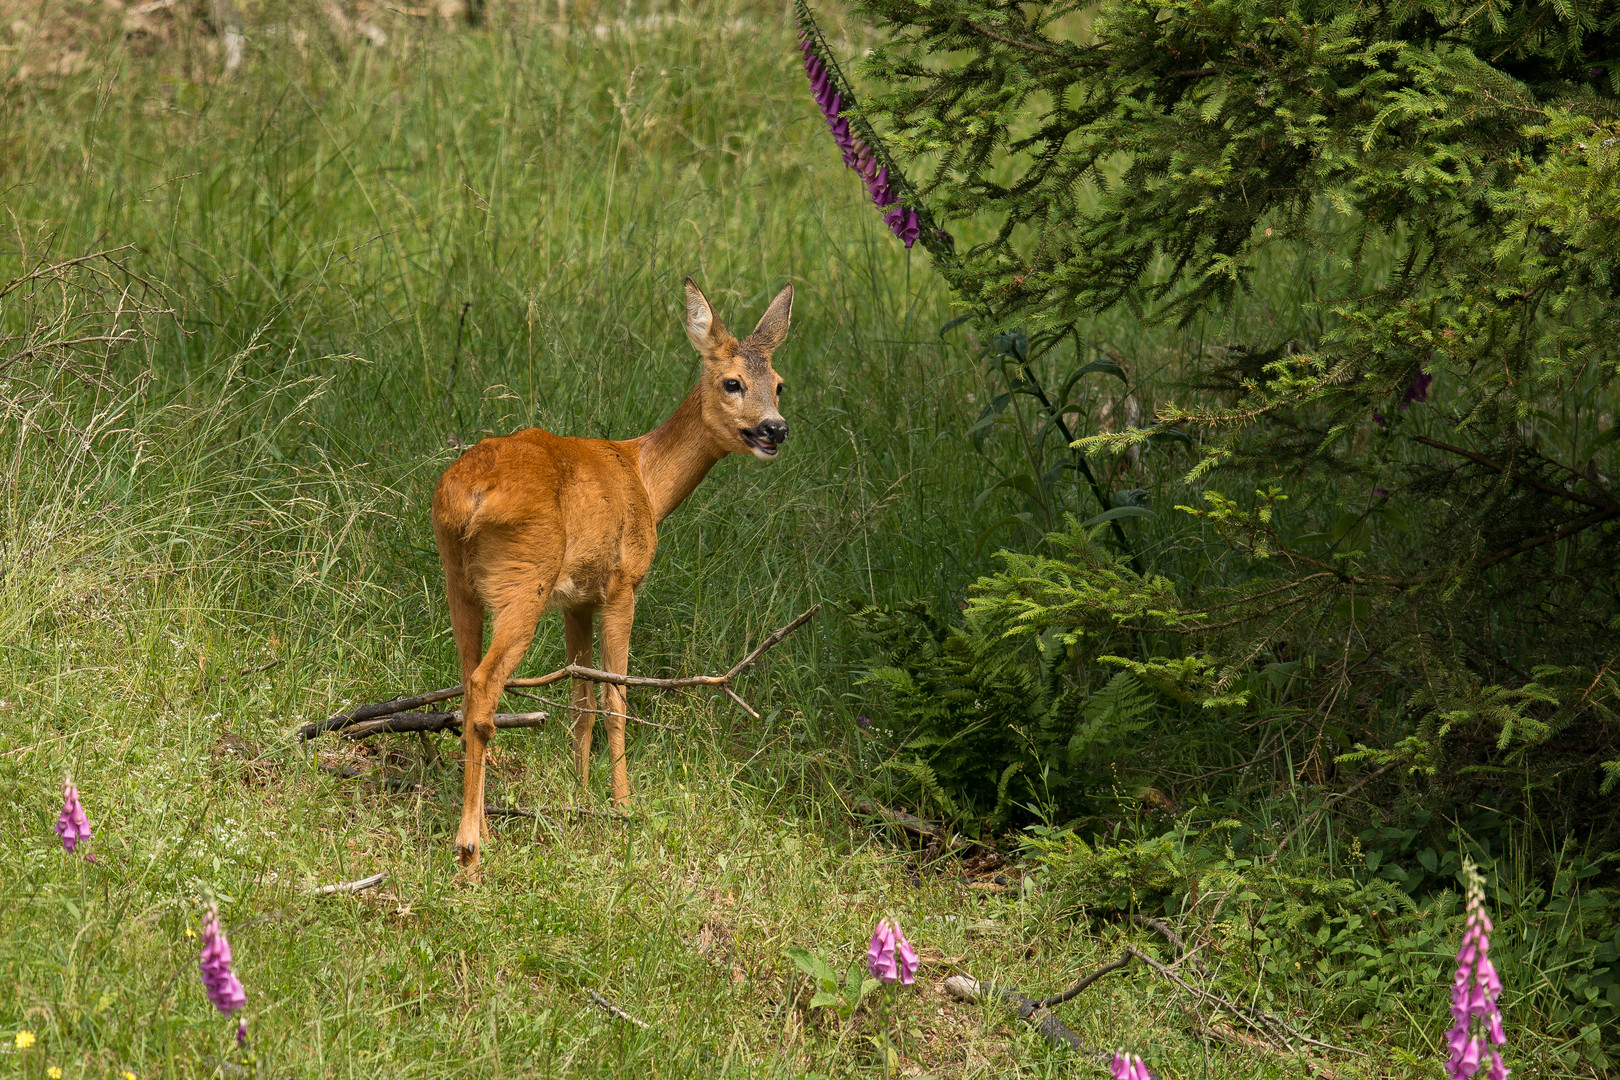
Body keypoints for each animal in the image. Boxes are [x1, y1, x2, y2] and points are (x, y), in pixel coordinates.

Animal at [427, 278, 787, 867]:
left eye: (779, 384)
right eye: (732, 381)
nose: (775, 429)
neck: (646, 481)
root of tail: (469, 494)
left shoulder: (576, 599)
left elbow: (582, 702)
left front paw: (580, 796)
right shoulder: (622, 583)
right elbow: (617, 699)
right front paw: (622, 806)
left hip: (459, 579)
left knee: (464, 681)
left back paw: (486, 826)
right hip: (525, 579)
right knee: (483, 686)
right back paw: (470, 849)